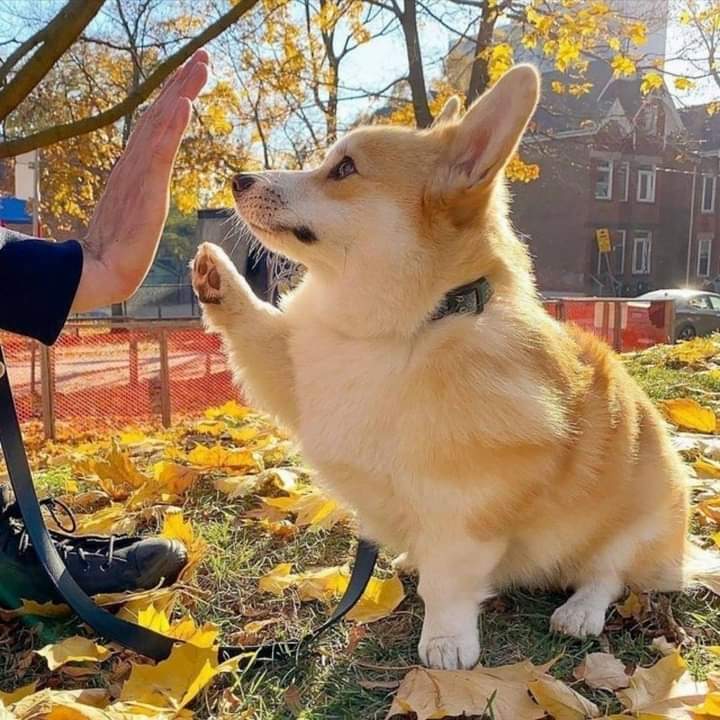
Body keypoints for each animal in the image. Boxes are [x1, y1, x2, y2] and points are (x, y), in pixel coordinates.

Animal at [190, 66, 692, 668]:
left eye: (345, 169)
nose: (237, 180)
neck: (404, 329)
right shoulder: (294, 368)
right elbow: (257, 332)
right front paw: (216, 276)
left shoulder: (465, 505)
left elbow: (449, 583)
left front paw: (448, 643)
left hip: (642, 516)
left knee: (609, 575)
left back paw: (579, 612)